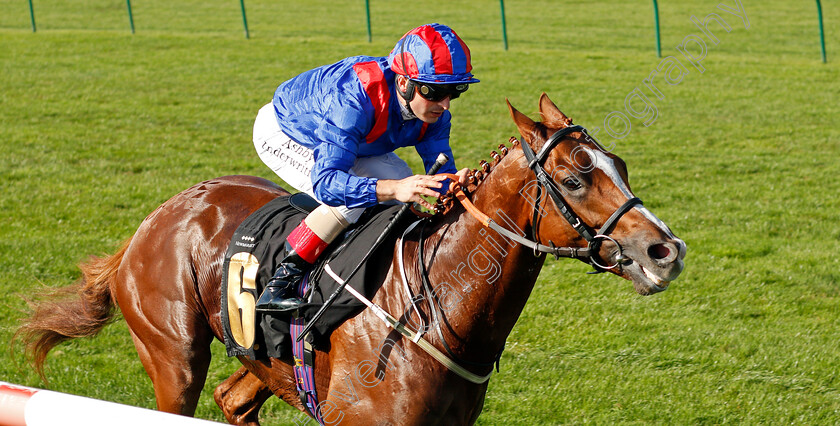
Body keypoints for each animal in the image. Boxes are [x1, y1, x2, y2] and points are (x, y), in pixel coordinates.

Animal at [18, 95, 688, 424]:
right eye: (576, 178)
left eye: (621, 167)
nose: (665, 250)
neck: (436, 312)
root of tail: (154, 219)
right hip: (173, 357)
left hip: (266, 363)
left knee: (234, 402)